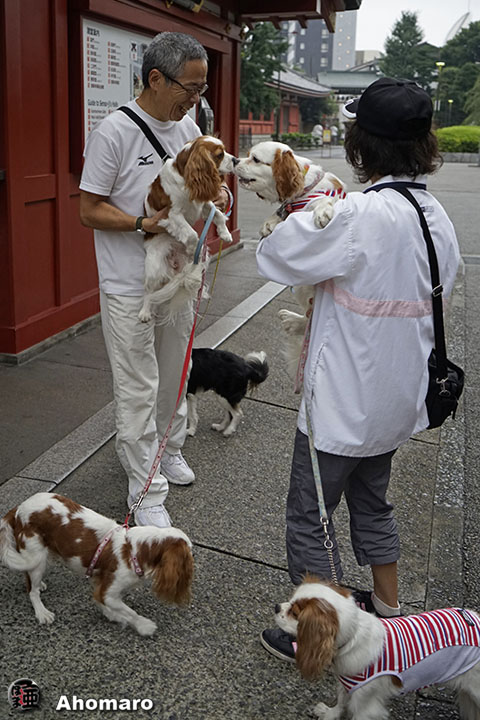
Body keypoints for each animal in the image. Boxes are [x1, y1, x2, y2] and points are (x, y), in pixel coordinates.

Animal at [0, 493, 193, 636]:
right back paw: (42, 612)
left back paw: (41, 585)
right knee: (31, 590)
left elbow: (105, 603)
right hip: (35, 554)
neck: (133, 551)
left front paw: (113, 616)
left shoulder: (101, 583)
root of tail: (18, 508)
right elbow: (129, 611)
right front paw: (143, 625)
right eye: (189, 552)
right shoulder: (109, 592)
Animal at [139, 135, 238, 323]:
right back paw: (145, 312)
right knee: (149, 292)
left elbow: (218, 215)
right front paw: (193, 247)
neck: (185, 176)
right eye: (220, 155)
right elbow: (191, 234)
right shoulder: (172, 214)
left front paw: (225, 234)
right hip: (154, 267)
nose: (236, 160)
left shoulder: (204, 203)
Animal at [234, 141, 347, 381]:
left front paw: (323, 212)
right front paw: (269, 223)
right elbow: (280, 215)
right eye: (246, 155)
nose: (235, 160)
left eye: (255, 159)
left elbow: (325, 202)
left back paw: (293, 322)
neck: (304, 190)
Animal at [272, 577, 480, 719]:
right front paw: (329, 714)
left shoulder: (365, 702)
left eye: (294, 613)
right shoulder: (348, 684)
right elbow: (341, 701)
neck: (354, 634)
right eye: (289, 601)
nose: (276, 607)